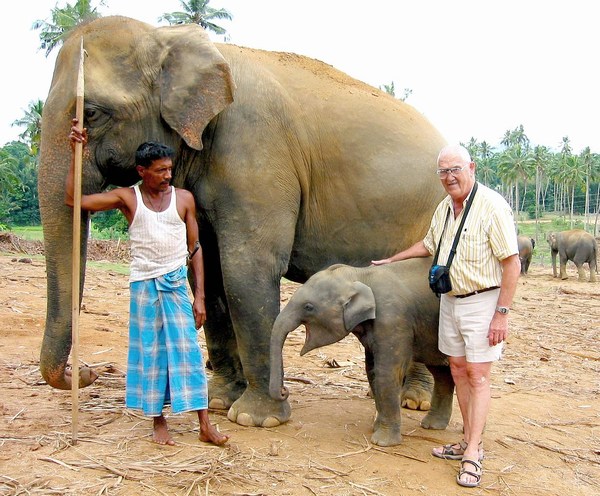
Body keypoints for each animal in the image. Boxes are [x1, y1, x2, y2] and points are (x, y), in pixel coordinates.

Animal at [37, 15, 448, 426]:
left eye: (92, 112)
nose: (87, 372)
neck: (170, 37)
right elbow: (207, 269)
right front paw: (220, 401)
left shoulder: (256, 149)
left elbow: (247, 269)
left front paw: (257, 418)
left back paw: (412, 401)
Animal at [270, 258, 452, 448]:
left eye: (308, 307)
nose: (284, 391)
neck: (360, 275)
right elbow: (372, 371)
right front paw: (376, 428)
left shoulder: (393, 320)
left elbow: (387, 373)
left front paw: (382, 442)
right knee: (442, 374)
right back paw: (432, 425)